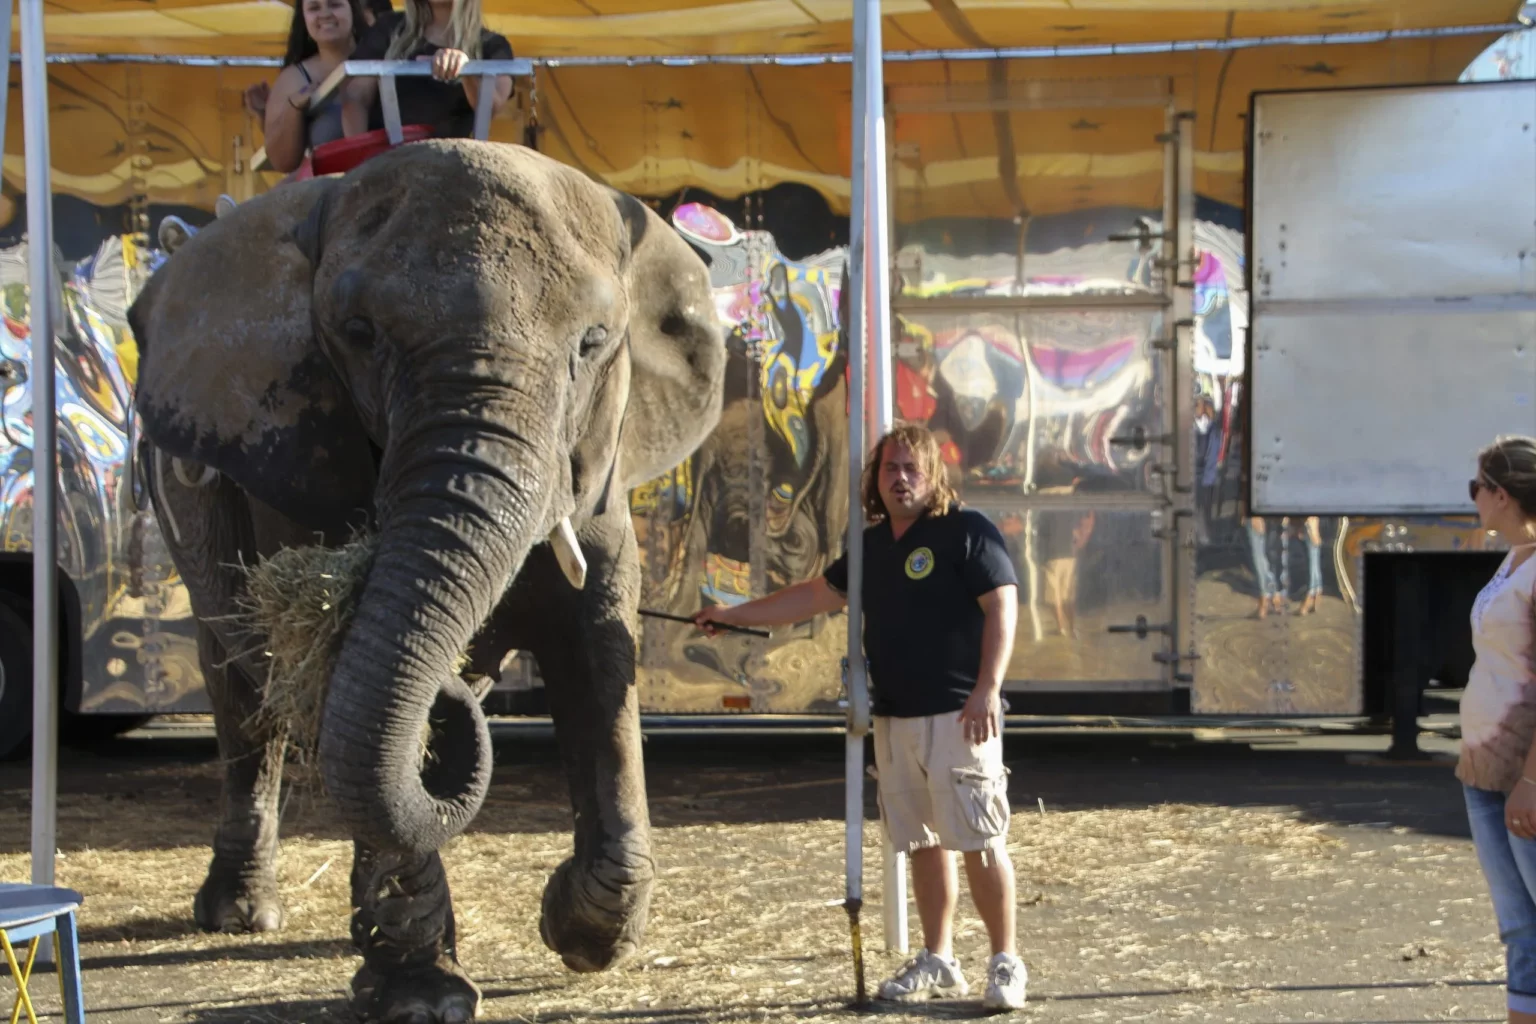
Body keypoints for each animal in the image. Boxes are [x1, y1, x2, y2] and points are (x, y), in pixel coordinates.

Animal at [124, 140, 724, 1019]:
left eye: (592, 343)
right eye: (358, 333)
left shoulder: (601, 474)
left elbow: (598, 661)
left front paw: (575, 930)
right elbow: (340, 671)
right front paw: (421, 996)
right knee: (240, 682)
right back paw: (241, 913)